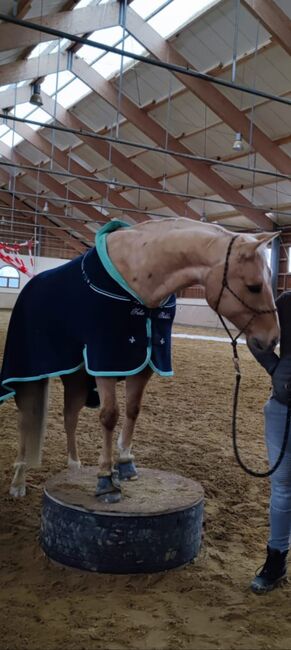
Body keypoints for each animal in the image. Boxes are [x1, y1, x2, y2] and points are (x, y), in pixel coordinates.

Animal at [1, 218, 280, 502]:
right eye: (254, 286)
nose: (272, 339)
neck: (140, 278)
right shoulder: (106, 362)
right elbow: (109, 416)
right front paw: (106, 480)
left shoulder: (145, 362)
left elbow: (133, 410)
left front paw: (125, 463)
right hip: (30, 376)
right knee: (26, 420)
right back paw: (18, 481)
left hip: (77, 376)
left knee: (70, 416)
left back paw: (74, 468)